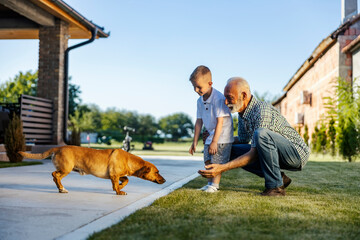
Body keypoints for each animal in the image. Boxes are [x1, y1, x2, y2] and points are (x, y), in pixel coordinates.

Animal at [18, 146, 166, 195]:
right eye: (157, 172)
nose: (164, 180)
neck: (129, 160)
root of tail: (58, 147)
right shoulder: (114, 175)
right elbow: (121, 182)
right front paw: (118, 191)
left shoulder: (116, 175)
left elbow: (126, 179)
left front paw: (120, 186)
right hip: (66, 168)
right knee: (55, 175)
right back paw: (61, 188)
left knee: (55, 176)